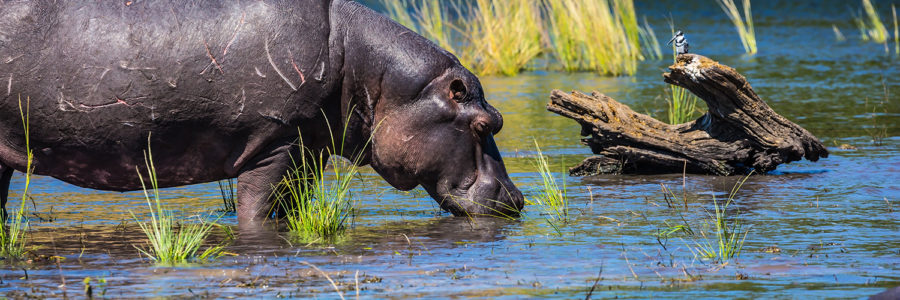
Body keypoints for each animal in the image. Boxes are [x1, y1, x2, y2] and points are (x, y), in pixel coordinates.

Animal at [0, 0, 524, 223]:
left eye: (499, 120)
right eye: (485, 123)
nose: (519, 198)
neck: (375, 76)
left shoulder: (309, 150)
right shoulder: (276, 142)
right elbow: (259, 209)